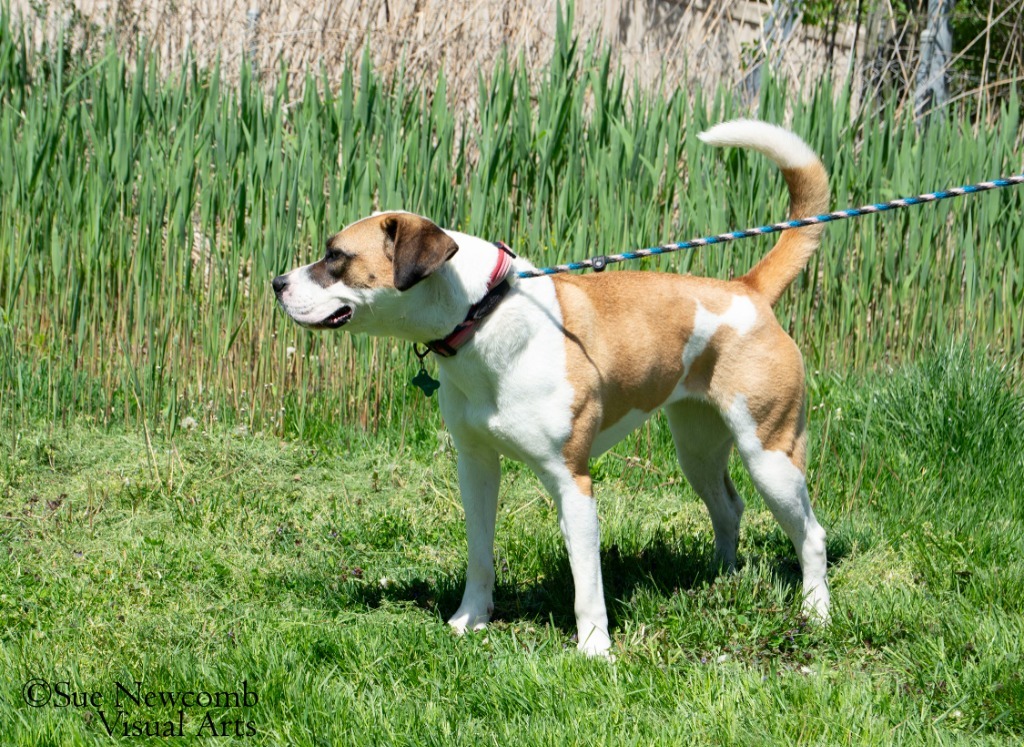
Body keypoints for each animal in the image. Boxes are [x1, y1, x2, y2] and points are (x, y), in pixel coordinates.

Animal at [274, 119, 831, 655]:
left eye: (336, 257)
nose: (277, 283)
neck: (482, 313)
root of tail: (746, 290)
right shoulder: (475, 466)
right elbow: (480, 553)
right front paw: (469, 621)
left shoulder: (572, 482)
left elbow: (587, 580)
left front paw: (594, 648)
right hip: (697, 447)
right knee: (728, 508)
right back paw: (721, 580)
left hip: (771, 455)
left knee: (811, 534)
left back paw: (816, 613)